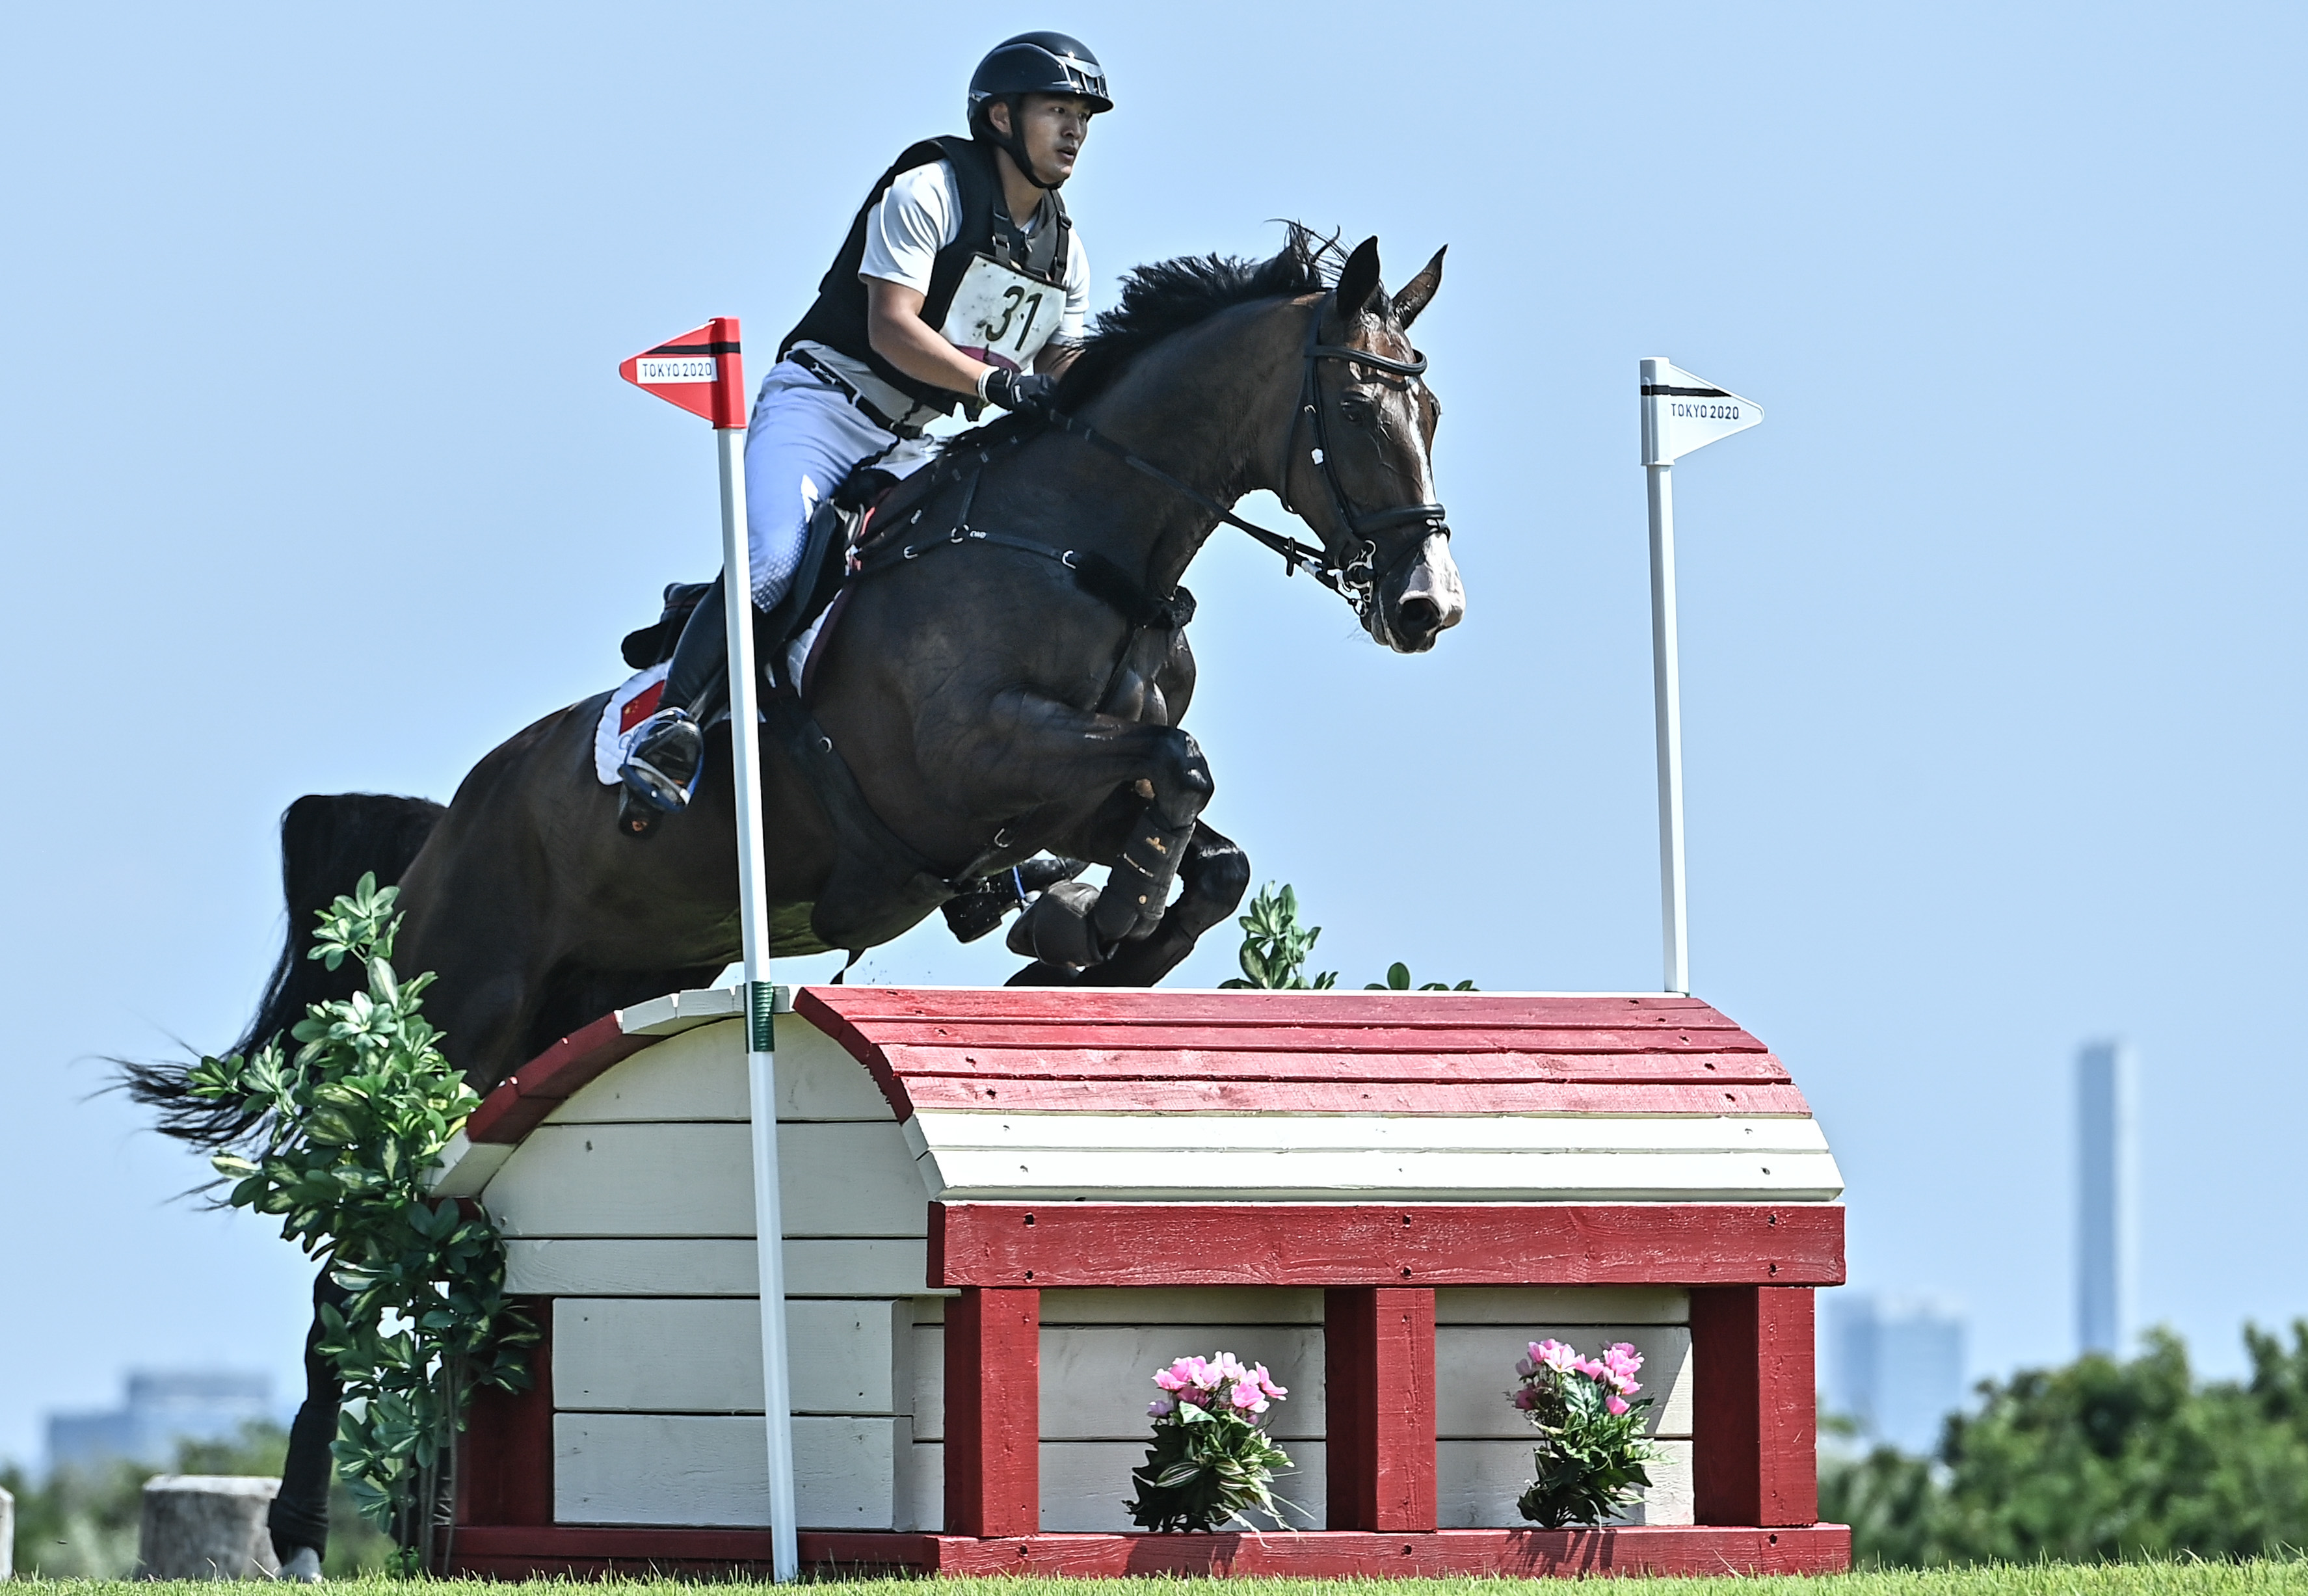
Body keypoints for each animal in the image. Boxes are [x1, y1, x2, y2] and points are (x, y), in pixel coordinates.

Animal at [126, 234, 1458, 1561]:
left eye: (1431, 409)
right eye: (1355, 407)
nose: (1424, 607)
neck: (1081, 550)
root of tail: (445, 823)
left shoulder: (1063, 788)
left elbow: (1203, 837)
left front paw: (1079, 938)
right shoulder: (972, 764)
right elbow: (1179, 769)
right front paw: (1097, 923)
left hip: (592, 1004)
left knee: (444, 1238)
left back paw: (435, 1516)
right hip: (464, 1013)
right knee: (350, 1260)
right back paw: (303, 1527)